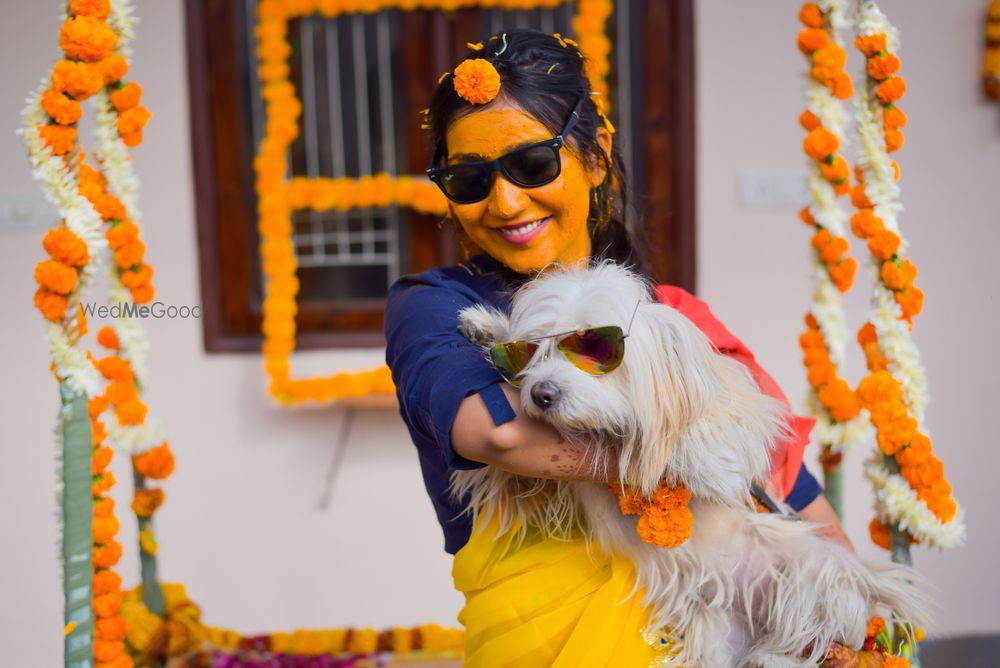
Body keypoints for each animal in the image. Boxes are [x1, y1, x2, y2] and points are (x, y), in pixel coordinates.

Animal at [454, 264, 920, 668]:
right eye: (529, 352)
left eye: (592, 349)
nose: (541, 394)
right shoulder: (529, 475)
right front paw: (485, 326)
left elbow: (701, 427)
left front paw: (695, 455)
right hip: (717, 635)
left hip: (816, 571)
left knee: (817, 629)